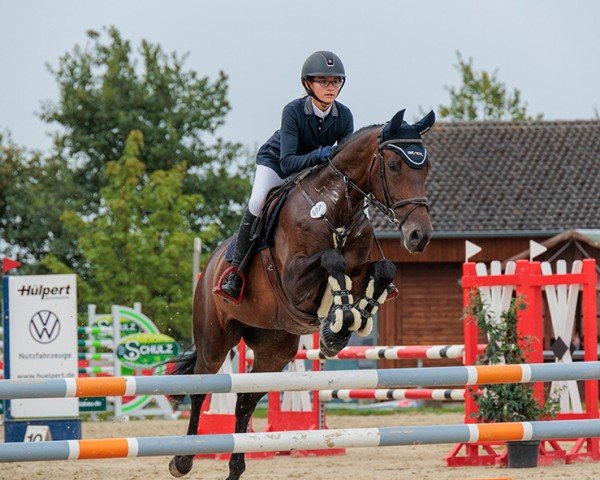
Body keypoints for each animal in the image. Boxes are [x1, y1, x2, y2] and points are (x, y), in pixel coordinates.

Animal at [169, 109, 436, 480]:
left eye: (425, 168)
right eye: (395, 165)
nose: (418, 236)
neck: (336, 211)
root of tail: (209, 265)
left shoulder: (360, 269)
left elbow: (383, 270)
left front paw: (347, 323)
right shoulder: (294, 281)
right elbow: (332, 259)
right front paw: (339, 323)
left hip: (274, 350)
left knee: (245, 402)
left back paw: (236, 466)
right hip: (214, 338)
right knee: (200, 387)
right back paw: (183, 459)